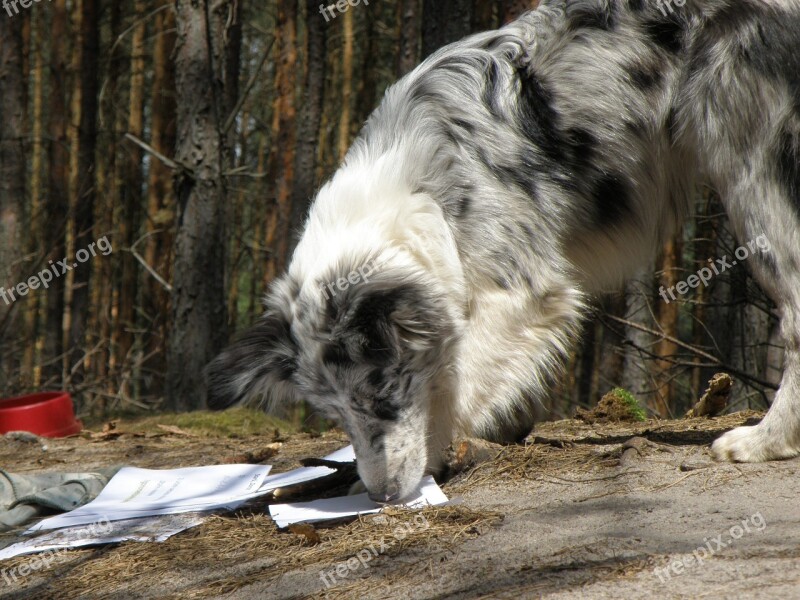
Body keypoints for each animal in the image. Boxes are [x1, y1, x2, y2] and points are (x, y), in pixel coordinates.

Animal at [205, 1, 800, 502]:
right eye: (335, 414)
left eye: (380, 399)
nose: (381, 496)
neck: (421, 189)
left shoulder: (522, 290)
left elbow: (454, 384)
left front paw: (440, 452)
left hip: (751, 171)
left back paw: (764, 439)